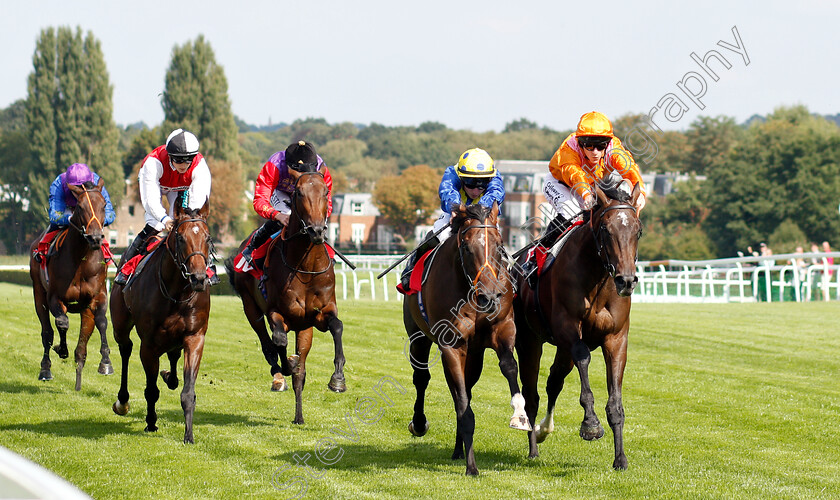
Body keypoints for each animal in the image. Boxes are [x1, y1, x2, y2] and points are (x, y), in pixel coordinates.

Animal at [28, 178, 114, 392]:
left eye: (104, 205)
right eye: (80, 207)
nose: (95, 238)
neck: (81, 260)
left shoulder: (97, 297)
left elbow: (102, 321)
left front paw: (106, 362)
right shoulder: (54, 297)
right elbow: (62, 323)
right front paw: (61, 348)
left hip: (85, 310)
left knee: (82, 347)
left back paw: (78, 381)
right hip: (38, 294)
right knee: (48, 331)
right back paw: (46, 369)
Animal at [110, 197, 213, 444]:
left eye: (207, 238)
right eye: (181, 237)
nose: (199, 278)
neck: (178, 292)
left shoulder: (195, 337)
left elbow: (187, 392)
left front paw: (188, 435)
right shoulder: (149, 344)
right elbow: (151, 390)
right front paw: (151, 422)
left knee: (173, 356)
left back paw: (169, 376)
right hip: (120, 324)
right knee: (125, 348)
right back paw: (122, 401)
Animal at [225, 168, 346, 426]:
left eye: (326, 191)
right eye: (298, 193)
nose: (317, 231)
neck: (306, 267)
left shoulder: (319, 316)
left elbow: (337, 326)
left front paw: (338, 379)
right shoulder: (277, 312)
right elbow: (279, 340)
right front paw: (286, 364)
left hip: (305, 329)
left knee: (300, 370)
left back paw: (299, 416)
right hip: (250, 307)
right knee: (267, 343)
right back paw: (279, 371)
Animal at [404, 201, 528, 474]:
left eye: (499, 245)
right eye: (467, 247)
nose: (489, 297)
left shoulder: (503, 328)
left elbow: (509, 366)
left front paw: (520, 414)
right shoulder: (451, 344)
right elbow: (462, 402)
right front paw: (472, 467)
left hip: (474, 354)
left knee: (465, 387)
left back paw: (458, 449)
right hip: (418, 337)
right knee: (422, 378)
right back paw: (420, 424)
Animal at [512, 183, 644, 468]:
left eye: (637, 230)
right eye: (606, 229)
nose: (626, 280)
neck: (599, 279)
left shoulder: (616, 338)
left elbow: (615, 400)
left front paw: (620, 458)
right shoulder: (569, 330)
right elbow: (583, 359)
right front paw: (591, 425)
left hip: (561, 349)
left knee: (554, 381)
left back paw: (543, 430)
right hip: (529, 340)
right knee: (531, 393)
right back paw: (533, 446)